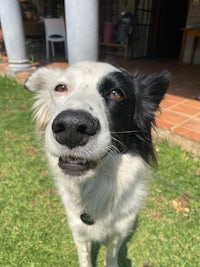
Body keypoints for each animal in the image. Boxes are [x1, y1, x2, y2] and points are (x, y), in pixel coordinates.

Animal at [25, 61, 171, 266]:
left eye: (116, 93)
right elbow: (84, 256)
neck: (93, 187)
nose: (71, 127)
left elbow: (111, 254)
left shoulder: (121, 229)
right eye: (60, 88)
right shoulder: (78, 231)